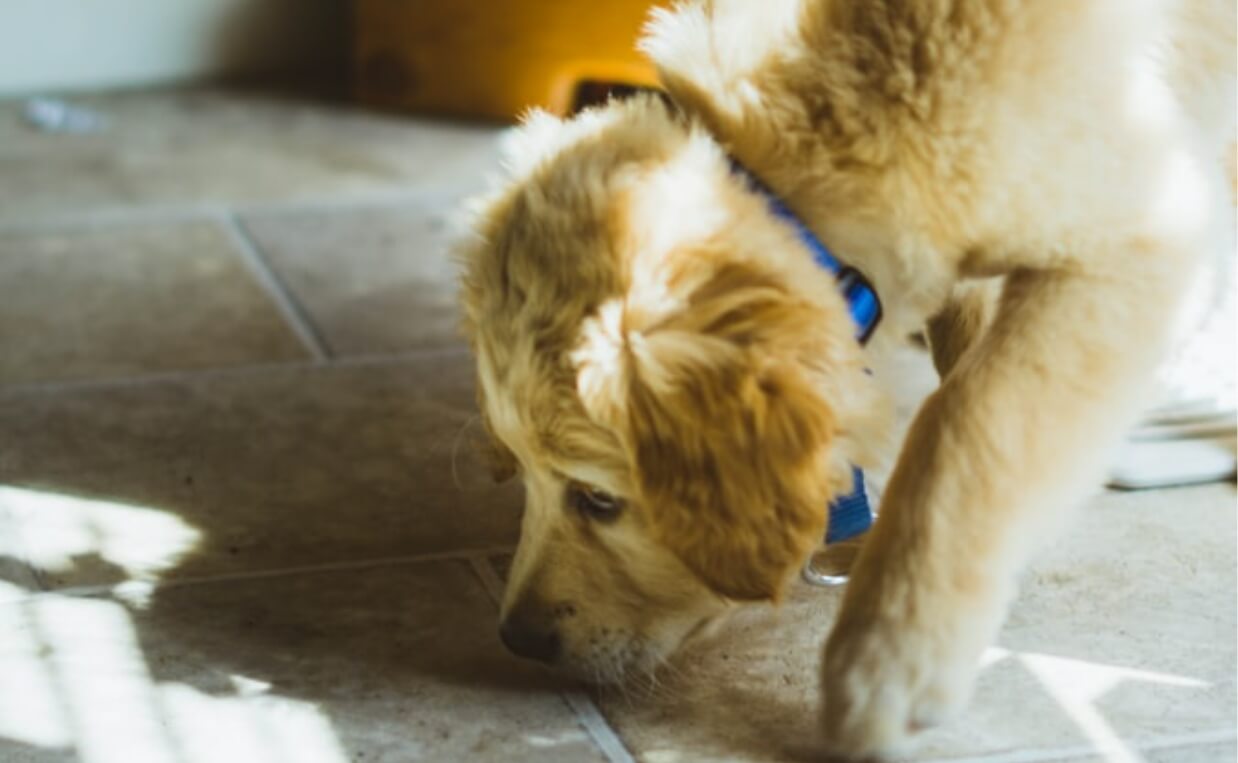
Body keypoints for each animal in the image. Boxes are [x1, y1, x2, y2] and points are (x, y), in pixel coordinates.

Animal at [458, 0, 1238, 758]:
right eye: (522, 471)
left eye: (599, 498)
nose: (516, 638)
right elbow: (966, 353)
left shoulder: (1141, 236)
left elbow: (970, 418)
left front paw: (893, 653)